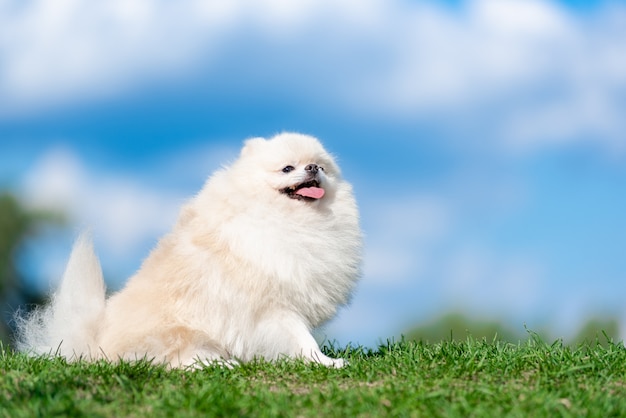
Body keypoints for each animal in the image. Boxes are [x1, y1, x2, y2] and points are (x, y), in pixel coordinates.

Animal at [17, 132, 360, 368]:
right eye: (287, 168)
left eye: (322, 167)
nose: (312, 168)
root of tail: (94, 347)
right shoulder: (274, 305)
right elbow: (302, 340)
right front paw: (326, 362)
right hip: (180, 332)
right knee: (177, 362)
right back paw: (217, 365)